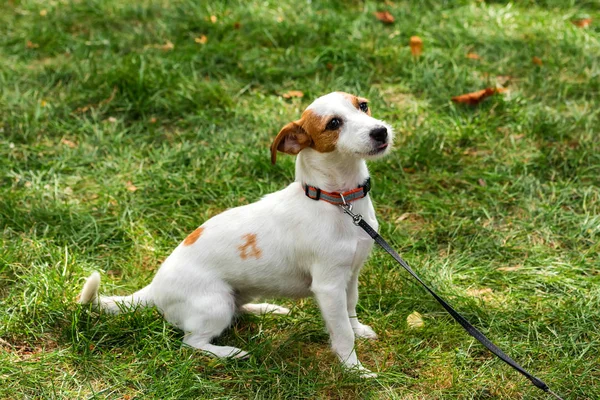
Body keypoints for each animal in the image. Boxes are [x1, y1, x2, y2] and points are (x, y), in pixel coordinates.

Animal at [76, 92, 394, 376]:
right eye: (333, 123)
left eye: (363, 106)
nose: (381, 131)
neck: (338, 201)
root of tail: (153, 289)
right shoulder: (329, 286)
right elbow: (341, 333)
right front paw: (354, 370)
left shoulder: (350, 275)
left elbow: (350, 310)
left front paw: (359, 331)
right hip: (214, 303)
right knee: (191, 342)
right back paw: (230, 353)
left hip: (234, 295)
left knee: (236, 310)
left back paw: (267, 309)